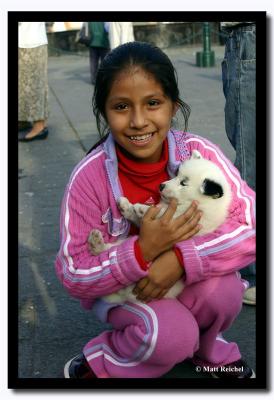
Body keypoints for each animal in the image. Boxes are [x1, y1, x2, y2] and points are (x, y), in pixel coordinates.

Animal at [88, 150, 231, 304]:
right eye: (177, 174)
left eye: (183, 183)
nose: (161, 186)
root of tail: (123, 295)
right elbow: (141, 217)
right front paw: (128, 206)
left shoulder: (187, 218)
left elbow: (159, 213)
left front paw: (142, 208)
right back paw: (97, 242)